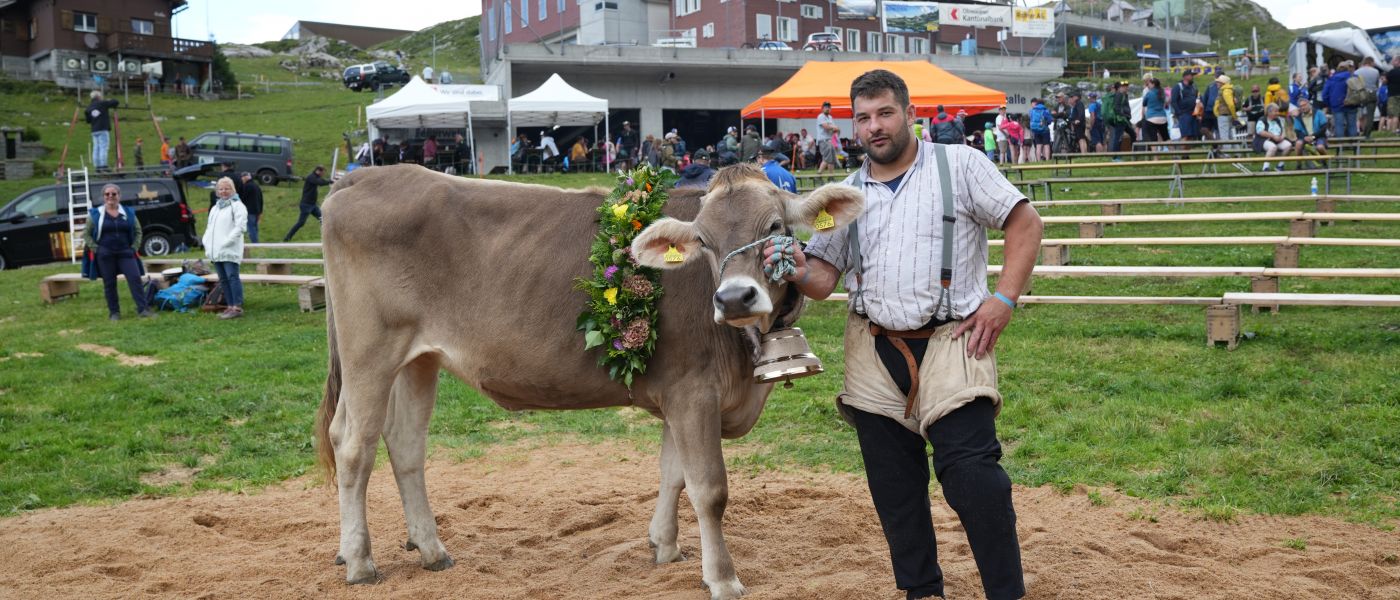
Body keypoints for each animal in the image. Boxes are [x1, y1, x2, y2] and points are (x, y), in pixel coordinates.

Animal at [317, 161, 862, 595]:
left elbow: (673, 474)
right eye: (704, 240)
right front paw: (723, 579)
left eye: (775, 225)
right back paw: (361, 562)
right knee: (353, 444)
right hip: (370, 351)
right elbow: (708, 488)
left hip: (417, 359)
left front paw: (664, 548)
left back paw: (431, 550)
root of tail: (368, 175)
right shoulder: (693, 392)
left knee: (405, 444)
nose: (733, 298)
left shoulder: (680, 391)